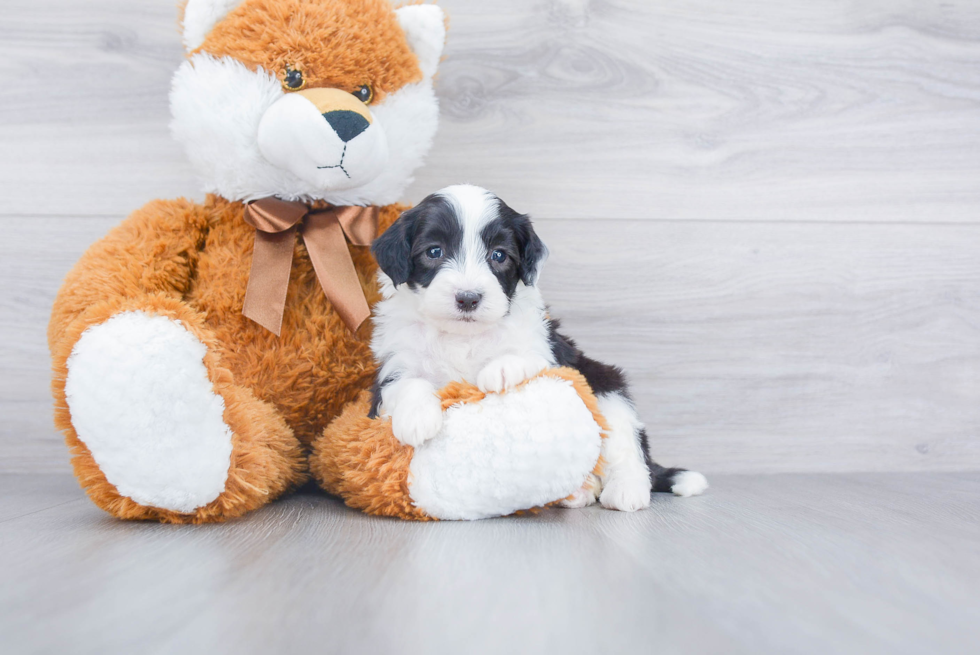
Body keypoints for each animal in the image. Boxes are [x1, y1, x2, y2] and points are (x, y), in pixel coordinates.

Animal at [368, 184, 704, 512]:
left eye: (499, 255)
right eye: (434, 251)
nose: (468, 298)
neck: (463, 336)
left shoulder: (552, 350)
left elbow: (527, 355)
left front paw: (501, 368)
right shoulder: (393, 365)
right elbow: (405, 383)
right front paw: (417, 418)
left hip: (607, 388)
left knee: (627, 447)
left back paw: (626, 490)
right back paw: (579, 493)